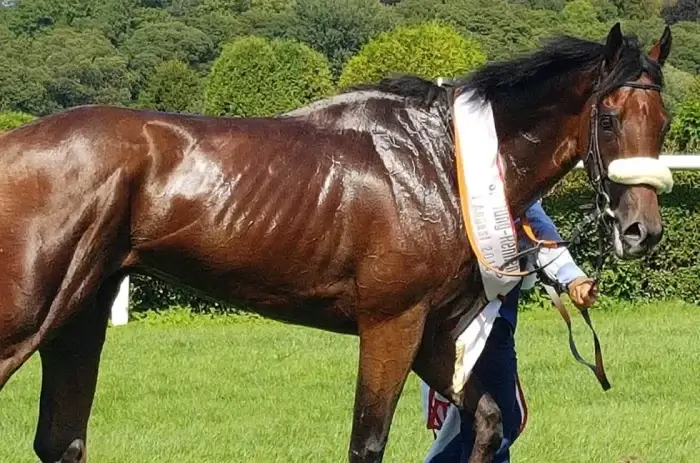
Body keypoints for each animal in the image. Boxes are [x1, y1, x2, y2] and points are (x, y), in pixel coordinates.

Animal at [0, 23, 672, 463]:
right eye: (608, 117)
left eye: (663, 122)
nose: (641, 231)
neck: (440, 161)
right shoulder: (392, 324)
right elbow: (367, 442)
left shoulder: (435, 332)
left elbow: (485, 423)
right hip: (30, 317)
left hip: (80, 315)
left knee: (61, 441)